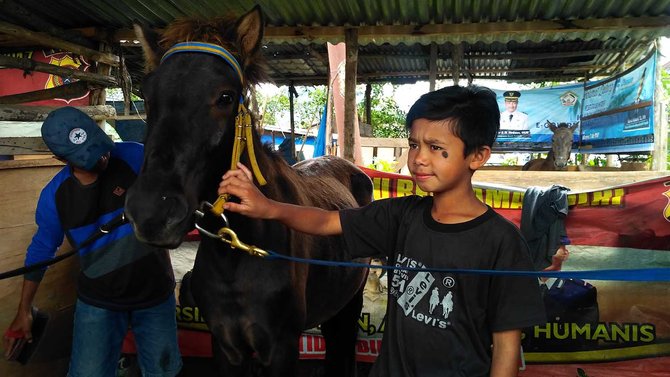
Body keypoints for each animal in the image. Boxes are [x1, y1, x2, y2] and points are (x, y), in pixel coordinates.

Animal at [124, 6, 372, 376]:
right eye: (148, 96)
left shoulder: (281, 348)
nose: (152, 212)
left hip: (349, 304)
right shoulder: (226, 346)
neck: (237, 257)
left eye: (225, 97)